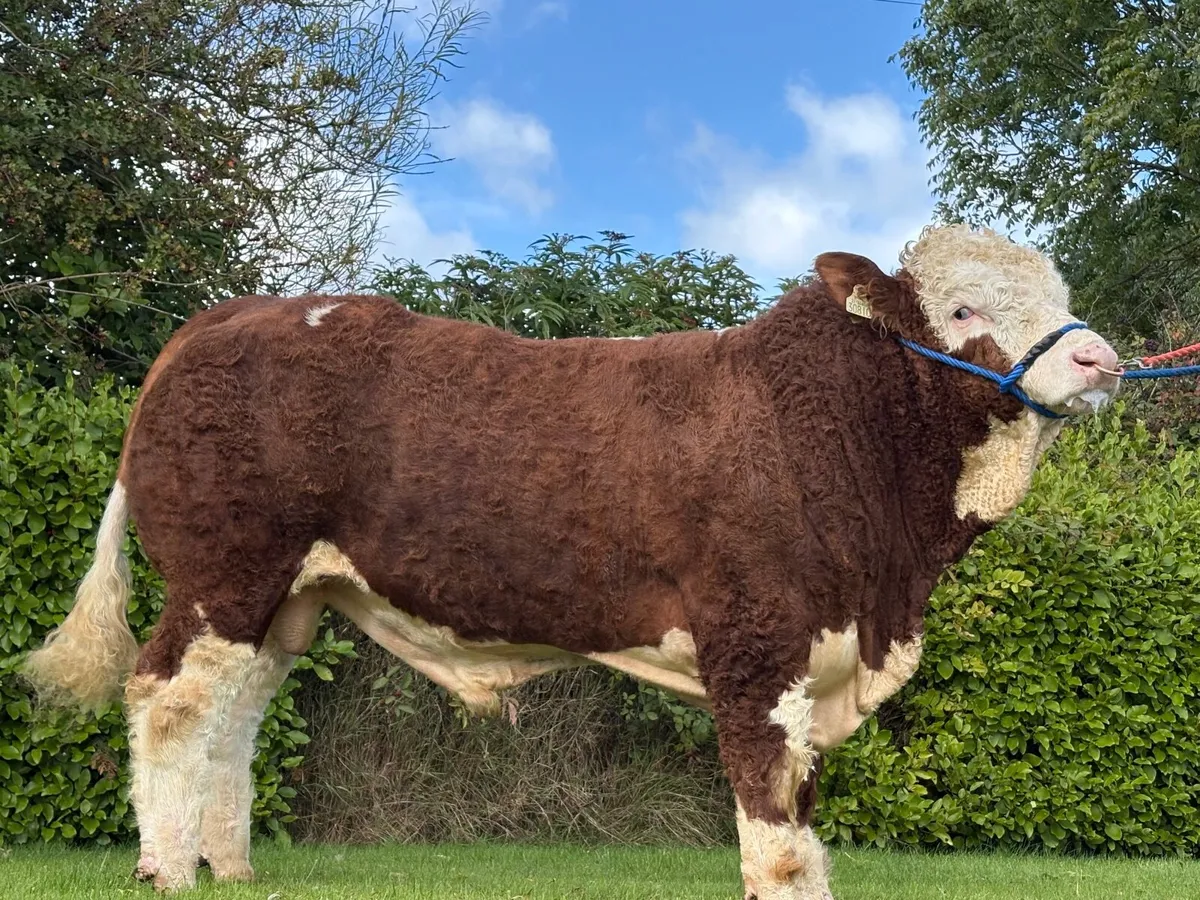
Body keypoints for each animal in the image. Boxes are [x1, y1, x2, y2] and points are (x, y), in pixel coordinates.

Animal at [25, 225, 1120, 899]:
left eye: (1061, 292)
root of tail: (228, 315)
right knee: (168, 700)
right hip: (224, 571)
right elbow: (775, 837)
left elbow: (804, 831)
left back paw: (232, 866)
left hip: (288, 596)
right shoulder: (756, 645)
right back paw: (168, 870)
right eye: (965, 308)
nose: (1099, 360)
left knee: (237, 712)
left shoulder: (817, 656)